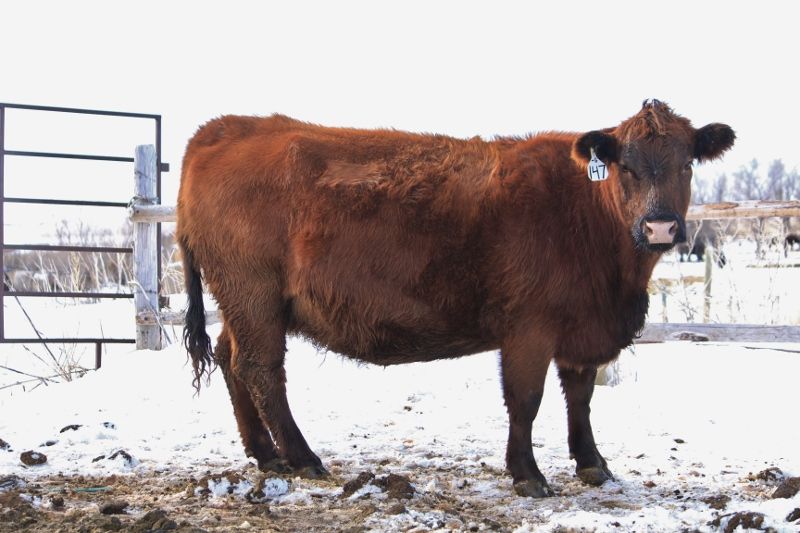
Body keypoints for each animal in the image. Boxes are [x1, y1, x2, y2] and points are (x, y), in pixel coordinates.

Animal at [177, 100, 734, 498]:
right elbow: (526, 400)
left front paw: (593, 464)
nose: (660, 226)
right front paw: (528, 474)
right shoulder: (529, 329)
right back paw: (301, 457)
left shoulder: (581, 328)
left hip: (246, 305)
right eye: (626, 167)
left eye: (686, 163)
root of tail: (224, 128)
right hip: (254, 295)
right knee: (261, 370)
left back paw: (265, 453)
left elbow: (580, 398)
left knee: (231, 360)